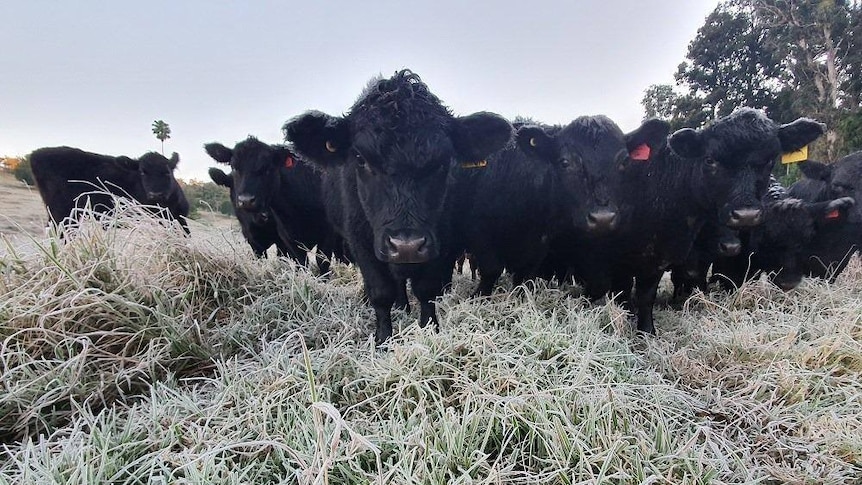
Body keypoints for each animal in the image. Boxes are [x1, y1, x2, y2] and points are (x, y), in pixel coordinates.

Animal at [29, 146, 190, 233]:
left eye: (167, 172)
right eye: (142, 172)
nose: (156, 194)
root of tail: (36, 154)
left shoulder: (179, 219)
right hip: (62, 213)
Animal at [206, 136, 344, 272]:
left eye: (267, 168)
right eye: (234, 168)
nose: (246, 200)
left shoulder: (328, 234)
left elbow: (322, 262)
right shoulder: (277, 239)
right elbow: (300, 264)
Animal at [284, 71, 512, 344]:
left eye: (443, 161)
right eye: (360, 158)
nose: (407, 247)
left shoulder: (443, 239)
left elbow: (427, 289)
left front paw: (430, 329)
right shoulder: (360, 241)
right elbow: (381, 292)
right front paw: (383, 338)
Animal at [592, 108, 824, 332]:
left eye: (770, 160)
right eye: (710, 160)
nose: (746, 214)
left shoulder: (659, 258)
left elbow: (647, 296)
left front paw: (647, 331)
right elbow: (622, 293)